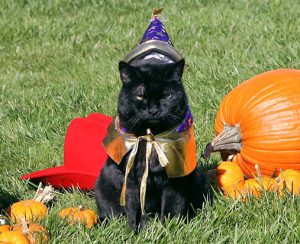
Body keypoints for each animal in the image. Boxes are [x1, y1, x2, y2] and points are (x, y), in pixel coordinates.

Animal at [95, 56, 212, 231]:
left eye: (166, 95)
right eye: (140, 96)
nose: (153, 110)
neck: (151, 138)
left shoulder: (175, 178)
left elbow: (172, 206)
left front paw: (170, 229)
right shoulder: (131, 181)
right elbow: (134, 210)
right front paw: (135, 231)